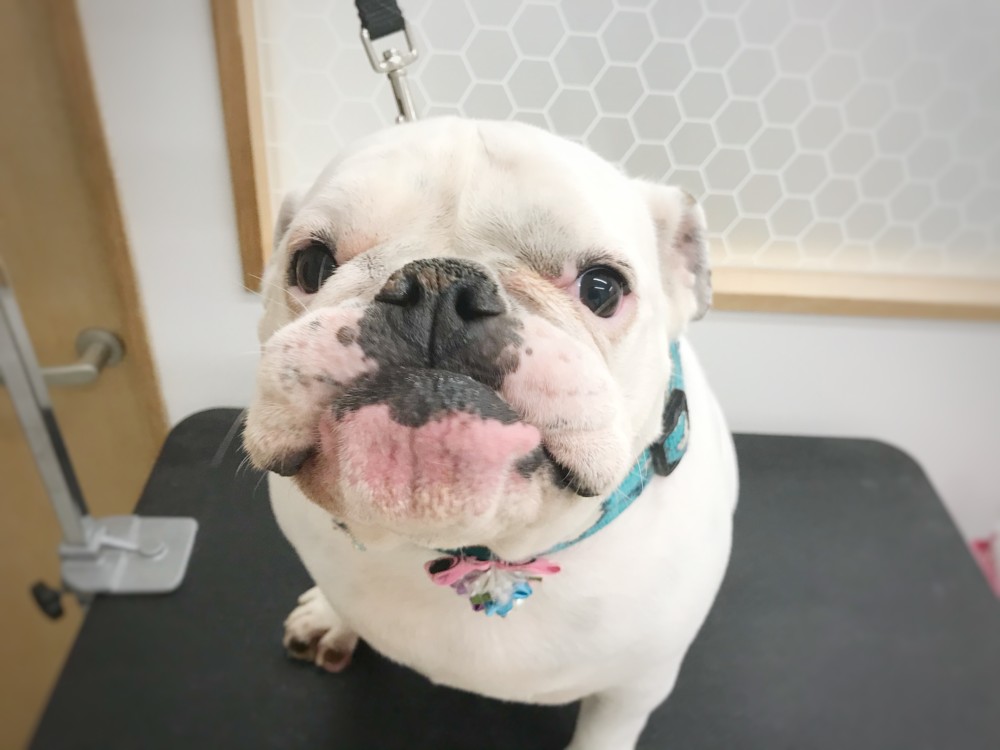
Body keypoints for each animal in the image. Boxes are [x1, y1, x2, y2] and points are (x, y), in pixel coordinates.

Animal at [243, 117, 738, 750]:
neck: (481, 549)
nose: (436, 286)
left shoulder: (636, 688)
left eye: (602, 288)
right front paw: (333, 614)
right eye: (309, 265)